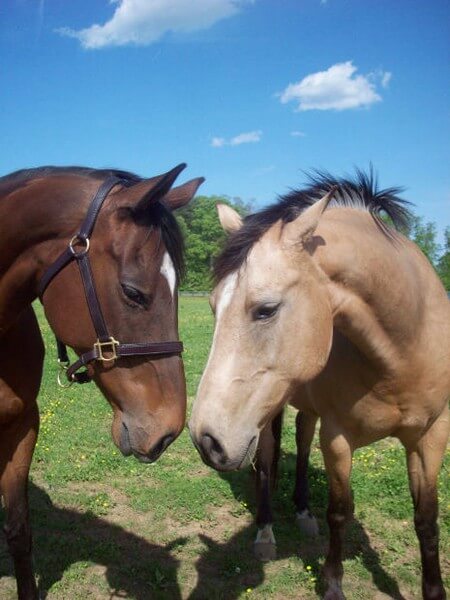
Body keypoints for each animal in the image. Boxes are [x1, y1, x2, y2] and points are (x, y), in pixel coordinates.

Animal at [190, 170, 450, 600]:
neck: (404, 349)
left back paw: (302, 511)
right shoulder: (338, 438)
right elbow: (340, 511)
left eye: (266, 309)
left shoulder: (431, 437)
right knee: (266, 460)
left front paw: (434, 590)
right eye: (212, 307)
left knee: (300, 438)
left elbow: (427, 519)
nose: (205, 440)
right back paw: (265, 532)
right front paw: (332, 583)